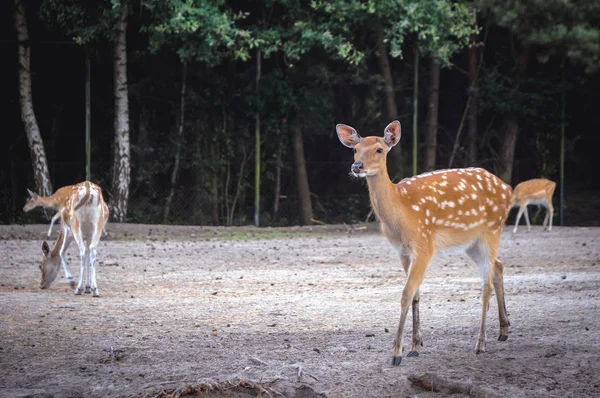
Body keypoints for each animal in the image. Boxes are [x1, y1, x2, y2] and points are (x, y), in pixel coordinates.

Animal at [336, 119, 512, 366]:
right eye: (355, 149)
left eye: (379, 149)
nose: (357, 166)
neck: (402, 213)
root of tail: (508, 189)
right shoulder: (402, 251)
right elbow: (416, 295)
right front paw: (415, 346)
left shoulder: (425, 245)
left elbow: (405, 294)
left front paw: (397, 353)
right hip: (472, 242)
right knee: (499, 266)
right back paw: (504, 330)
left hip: (492, 229)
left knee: (485, 285)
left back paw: (480, 343)